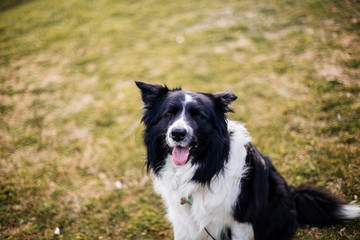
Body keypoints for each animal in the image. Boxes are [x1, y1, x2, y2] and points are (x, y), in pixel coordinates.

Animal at [136, 81, 360, 239]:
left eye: (198, 116)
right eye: (169, 114)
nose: (178, 133)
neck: (202, 169)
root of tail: (293, 193)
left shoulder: (241, 220)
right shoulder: (184, 221)